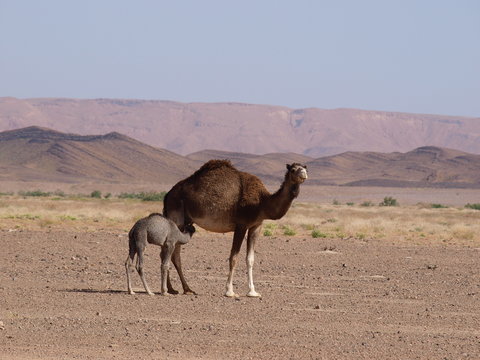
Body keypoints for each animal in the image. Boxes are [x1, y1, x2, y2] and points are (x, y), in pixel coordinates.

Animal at [164, 160, 308, 298]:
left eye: (305, 167)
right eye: (293, 169)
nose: (304, 174)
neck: (261, 202)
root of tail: (167, 195)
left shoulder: (256, 226)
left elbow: (250, 259)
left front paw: (253, 292)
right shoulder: (241, 225)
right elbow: (233, 258)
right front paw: (230, 291)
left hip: (184, 222)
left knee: (172, 254)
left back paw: (180, 289)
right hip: (176, 218)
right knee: (170, 252)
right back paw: (174, 289)